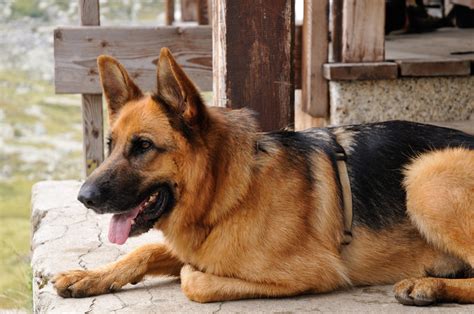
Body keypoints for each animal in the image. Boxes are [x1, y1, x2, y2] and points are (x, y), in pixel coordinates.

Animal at [53, 49, 474, 306]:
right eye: (111, 145)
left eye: (143, 146)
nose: (83, 197)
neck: (229, 192)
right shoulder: (196, 242)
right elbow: (144, 251)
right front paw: (89, 276)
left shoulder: (311, 272)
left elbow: (194, 279)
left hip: (425, 177)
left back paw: (428, 285)